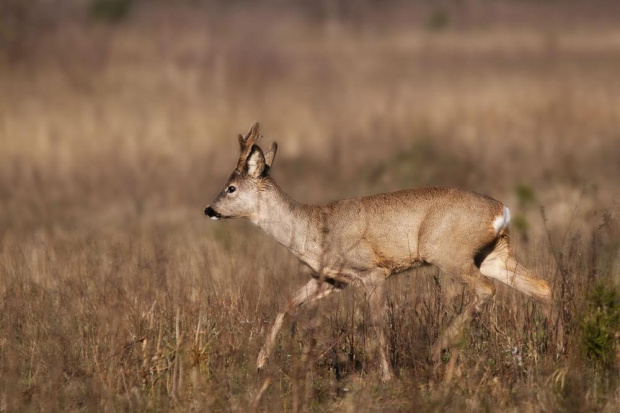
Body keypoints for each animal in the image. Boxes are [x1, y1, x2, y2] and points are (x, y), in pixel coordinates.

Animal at [206, 122, 556, 380]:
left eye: (231, 188)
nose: (209, 209)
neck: (312, 230)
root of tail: (502, 211)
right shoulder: (332, 279)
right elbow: (288, 303)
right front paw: (261, 362)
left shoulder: (372, 272)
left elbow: (377, 323)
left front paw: (387, 376)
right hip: (494, 255)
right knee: (543, 286)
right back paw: (557, 349)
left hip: (450, 253)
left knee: (487, 289)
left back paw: (435, 351)